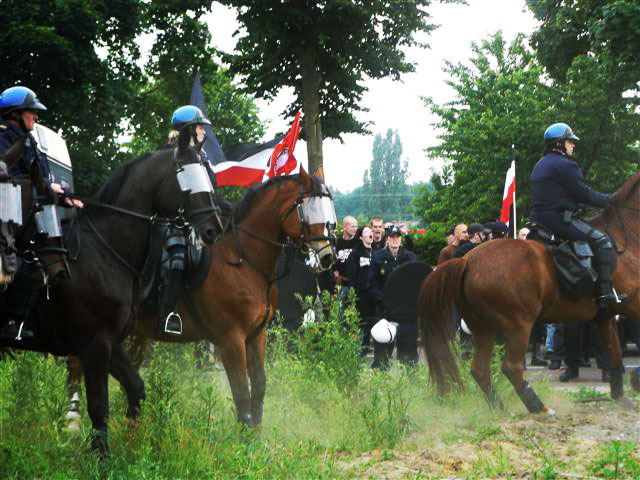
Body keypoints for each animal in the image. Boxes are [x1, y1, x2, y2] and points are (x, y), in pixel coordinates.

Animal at [1, 128, 222, 458]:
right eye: (186, 175)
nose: (214, 229)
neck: (107, 252)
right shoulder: (95, 345)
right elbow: (99, 406)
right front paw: (101, 458)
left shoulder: (112, 342)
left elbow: (136, 389)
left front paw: (131, 443)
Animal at [69, 168, 340, 428]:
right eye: (310, 207)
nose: (328, 257)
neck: (243, 260)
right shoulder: (231, 339)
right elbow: (241, 393)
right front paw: (244, 438)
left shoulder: (256, 335)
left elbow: (259, 386)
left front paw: (256, 434)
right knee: (75, 367)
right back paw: (72, 420)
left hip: (136, 335)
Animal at [420, 172, 640, 412]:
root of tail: (467, 260)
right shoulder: (633, 305)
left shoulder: (606, 317)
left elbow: (615, 354)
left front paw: (620, 396)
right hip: (519, 324)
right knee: (511, 367)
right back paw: (539, 408)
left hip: (484, 327)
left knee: (480, 369)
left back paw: (500, 409)